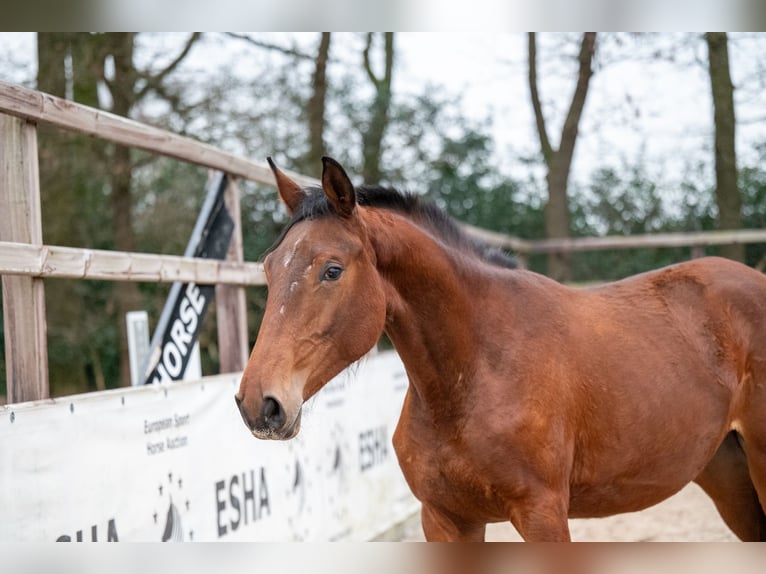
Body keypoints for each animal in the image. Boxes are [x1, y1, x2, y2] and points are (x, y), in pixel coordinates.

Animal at [237, 159, 766, 544]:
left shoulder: (542, 514)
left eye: (332, 270)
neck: (474, 375)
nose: (259, 404)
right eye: (268, 267)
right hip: (727, 474)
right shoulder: (446, 519)